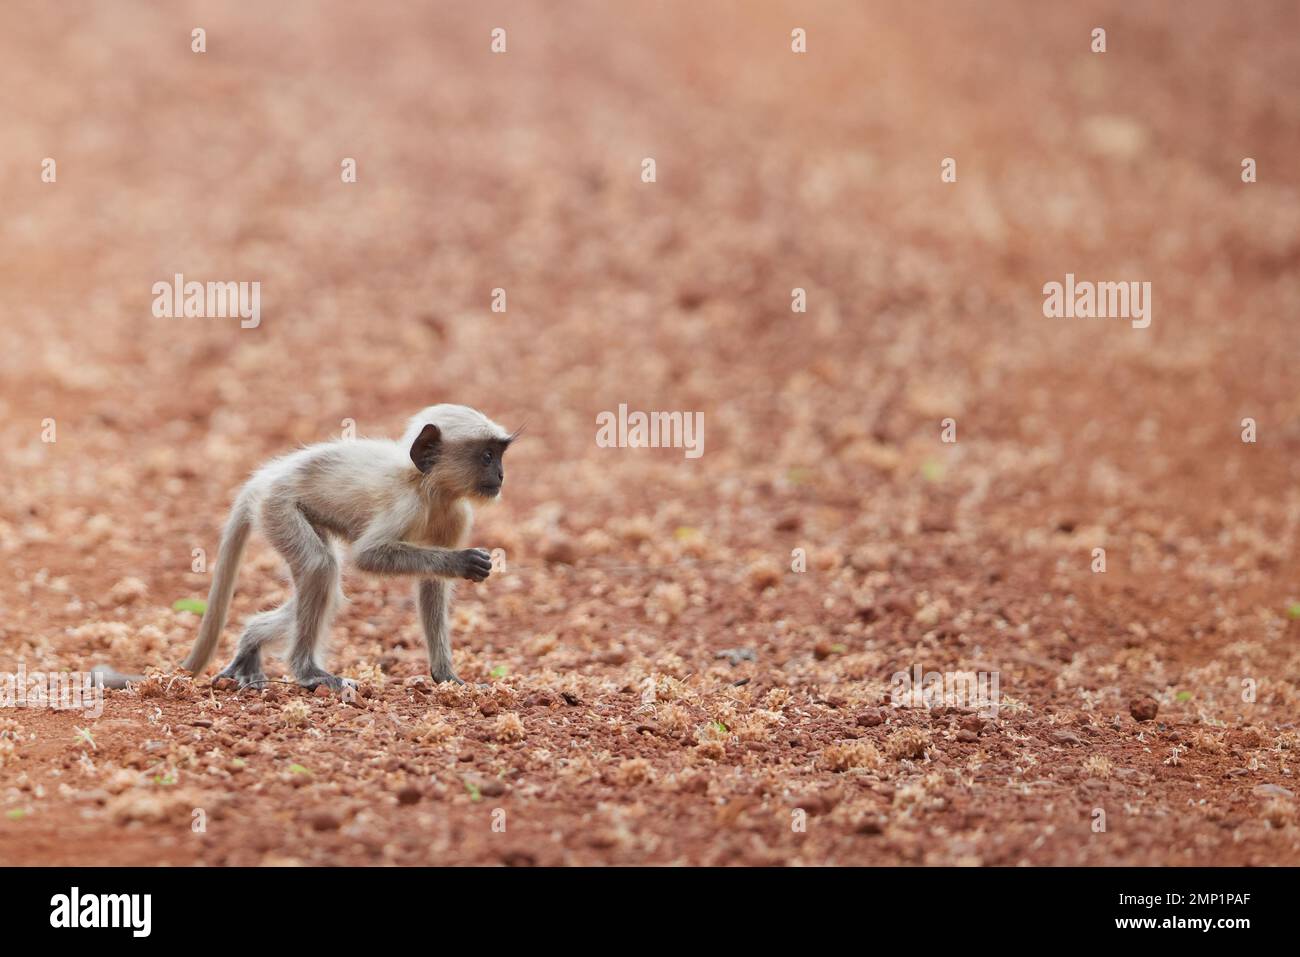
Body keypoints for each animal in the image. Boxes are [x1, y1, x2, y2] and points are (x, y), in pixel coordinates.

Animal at [180, 404, 515, 691]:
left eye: (498, 456)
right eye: (487, 456)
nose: (501, 475)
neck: (426, 484)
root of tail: (266, 480)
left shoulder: (455, 515)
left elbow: (432, 584)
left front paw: (445, 675)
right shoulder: (405, 504)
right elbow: (367, 557)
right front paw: (463, 562)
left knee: (328, 589)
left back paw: (251, 643)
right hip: (278, 507)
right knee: (318, 565)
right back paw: (308, 673)